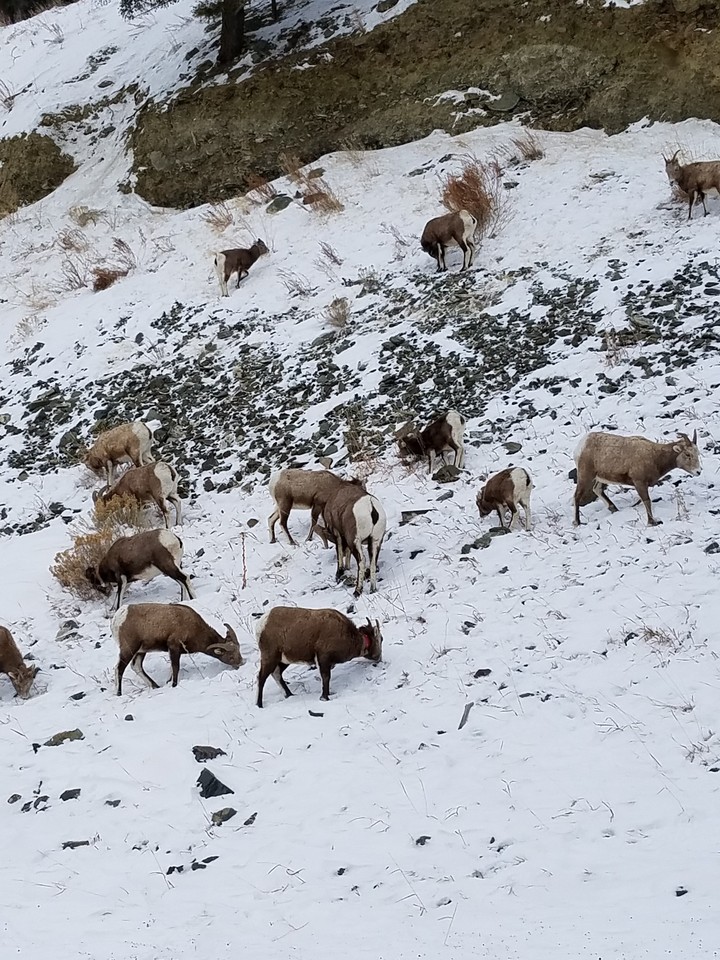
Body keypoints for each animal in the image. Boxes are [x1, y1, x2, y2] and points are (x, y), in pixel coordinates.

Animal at [113, 603, 242, 694]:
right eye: (231, 656)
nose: (241, 663)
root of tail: (118, 617)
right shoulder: (174, 647)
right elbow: (175, 668)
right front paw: (173, 685)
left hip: (140, 651)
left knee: (136, 666)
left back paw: (155, 686)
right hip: (129, 650)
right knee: (119, 669)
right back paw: (119, 693)